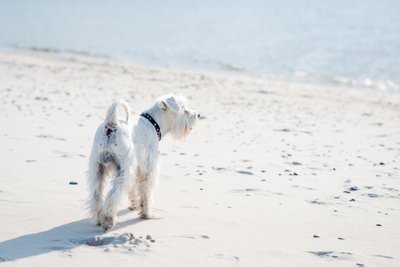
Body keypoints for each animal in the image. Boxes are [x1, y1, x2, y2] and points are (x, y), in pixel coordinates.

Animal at [86, 100, 134, 230]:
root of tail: (112, 122)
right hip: (124, 172)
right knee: (113, 195)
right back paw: (109, 220)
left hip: (97, 169)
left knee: (96, 195)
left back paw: (99, 219)